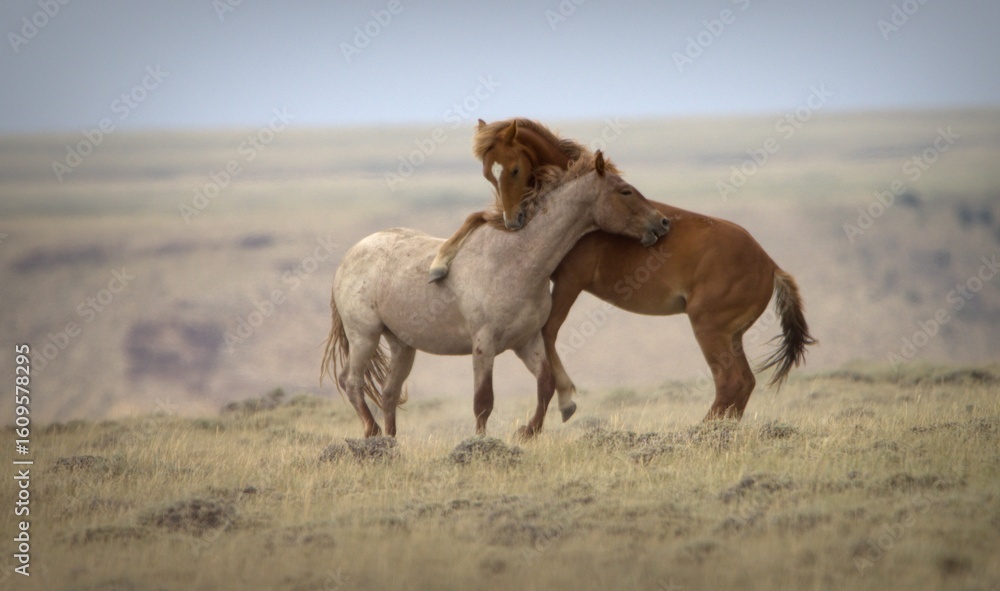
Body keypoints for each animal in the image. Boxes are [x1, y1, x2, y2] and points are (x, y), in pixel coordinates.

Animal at [321, 152, 671, 438]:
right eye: (624, 190)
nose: (663, 222)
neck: (512, 261)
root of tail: (348, 257)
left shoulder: (527, 341)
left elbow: (545, 385)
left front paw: (529, 431)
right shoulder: (484, 345)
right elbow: (483, 401)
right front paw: (482, 443)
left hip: (402, 345)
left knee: (389, 392)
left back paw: (391, 442)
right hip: (364, 335)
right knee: (351, 381)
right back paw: (372, 432)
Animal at [433, 118, 815, 429]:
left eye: (513, 169)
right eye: (488, 173)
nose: (515, 221)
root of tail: (771, 266)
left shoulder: (569, 283)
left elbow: (549, 332)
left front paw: (567, 400)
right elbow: (474, 218)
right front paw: (439, 265)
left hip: (710, 330)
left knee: (730, 383)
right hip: (732, 336)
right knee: (744, 384)